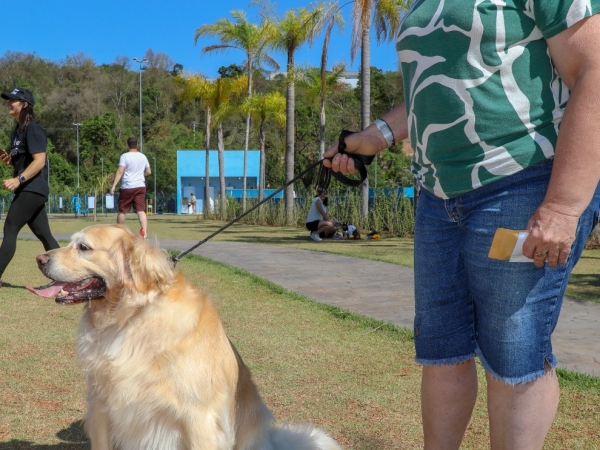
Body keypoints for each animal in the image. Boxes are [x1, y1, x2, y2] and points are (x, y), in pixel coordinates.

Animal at [28, 224, 342, 450]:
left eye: (84, 247)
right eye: (70, 242)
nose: (39, 258)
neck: (131, 318)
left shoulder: (199, 418)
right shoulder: (102, 407)